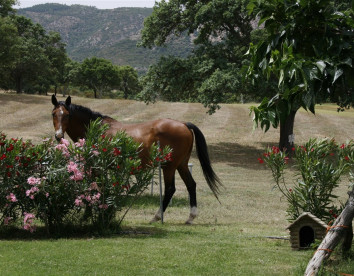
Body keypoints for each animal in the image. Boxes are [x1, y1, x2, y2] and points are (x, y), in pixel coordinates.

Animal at [51, 95, 221, 224]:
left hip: (169, 167)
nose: (58, 135)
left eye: (67, 115)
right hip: (182, 165)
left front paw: (88, 215)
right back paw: (190, 217)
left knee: (170, 189)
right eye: (54, 114)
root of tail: (184, 124)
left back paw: (156, 217)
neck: (95, 129)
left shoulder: (95, 167)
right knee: (191, 185)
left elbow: (93, 189)